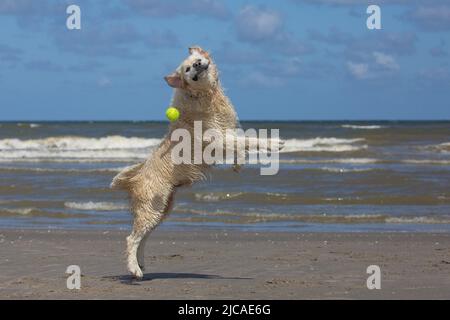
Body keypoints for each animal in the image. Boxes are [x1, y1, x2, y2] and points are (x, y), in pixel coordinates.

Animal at [111, 46, 282, 278]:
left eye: (197, 59)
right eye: (187, 69)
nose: (198, 64)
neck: (203, 95)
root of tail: (134, 178)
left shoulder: (226, 134)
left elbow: (240, 144)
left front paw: (238, 164)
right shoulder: (217, 138)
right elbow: (249, 140)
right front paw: (273, 143)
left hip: (162, 209)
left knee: (142, 238)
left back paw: (141, 264)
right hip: (152, 208)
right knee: (131, 238)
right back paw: (134, 270)